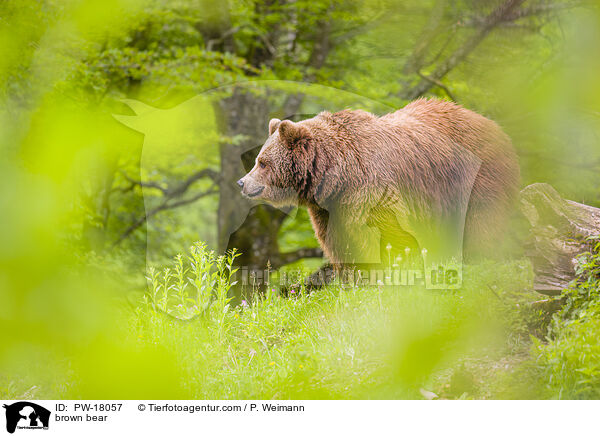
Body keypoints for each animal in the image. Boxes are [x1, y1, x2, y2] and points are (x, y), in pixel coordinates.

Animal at [237, 98, 516, 282]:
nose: (242, 182)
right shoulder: (329, 208)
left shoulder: (369, 188)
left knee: (482, 218)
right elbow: (339, 240)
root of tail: (494, 126)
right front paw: (352, 276)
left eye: (262, 162)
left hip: (476, 176)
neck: (335, 174)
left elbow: (387, 231)